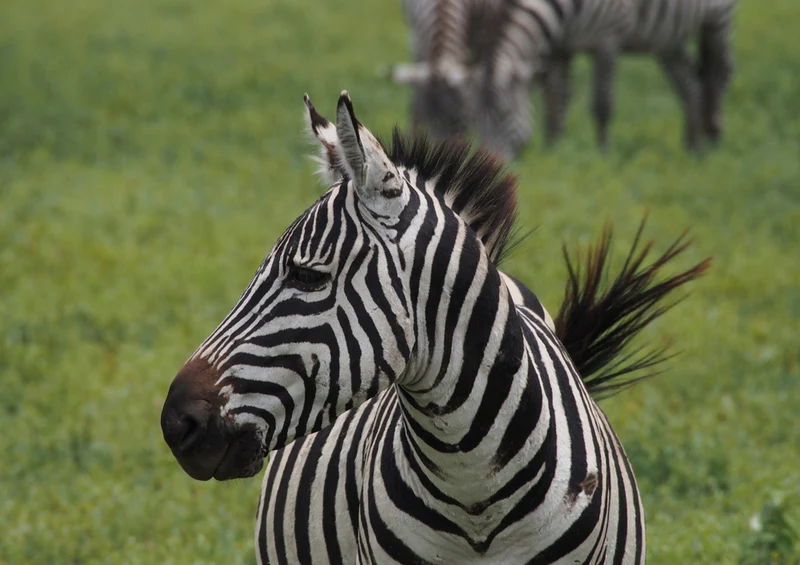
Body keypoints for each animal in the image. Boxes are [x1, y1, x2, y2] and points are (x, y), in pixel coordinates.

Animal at [392, 0, 736, 158]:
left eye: (504, 116)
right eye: (473, 119)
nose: (491, 165)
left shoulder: (607, 38)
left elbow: (601, 104)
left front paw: (602, 154)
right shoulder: (560, 42)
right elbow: (556, 97)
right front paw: (553, 148)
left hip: (717, 19)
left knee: (719, 75)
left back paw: (715, 138)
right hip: (667, 39)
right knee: (691, 83)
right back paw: (692, 146)